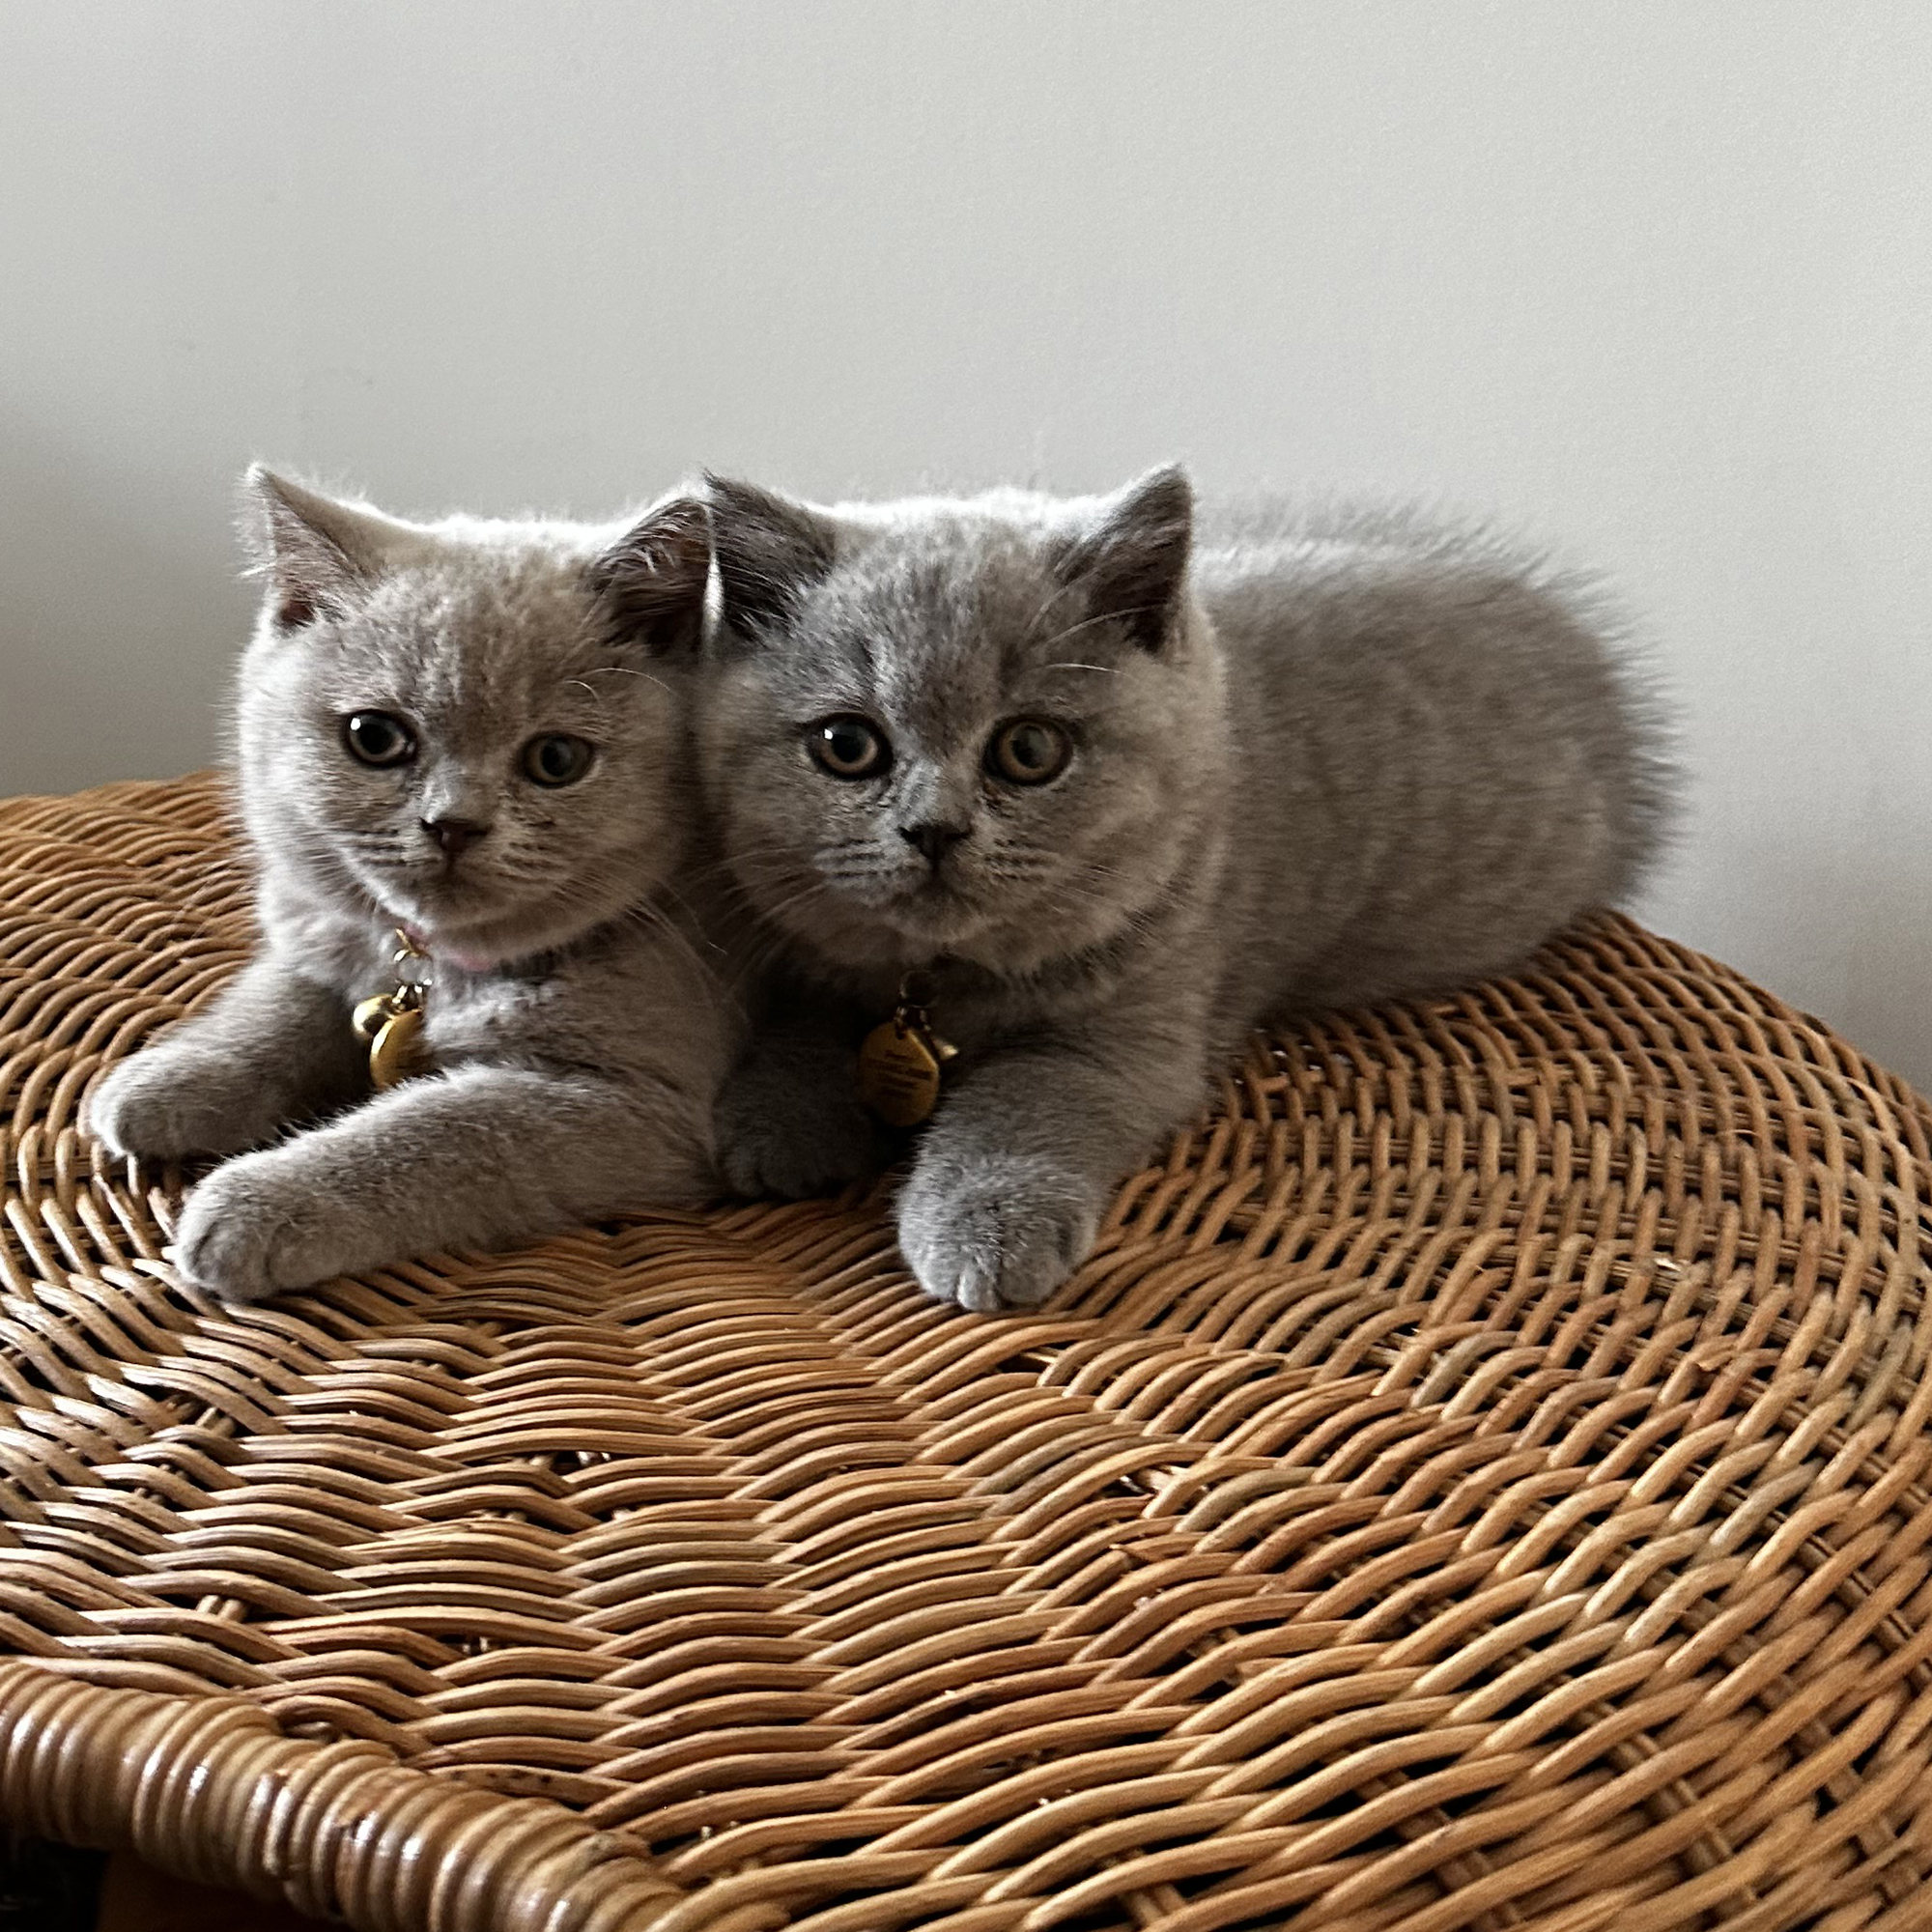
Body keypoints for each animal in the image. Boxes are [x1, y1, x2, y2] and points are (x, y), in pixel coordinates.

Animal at [87, 468, 726, 1306]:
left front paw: (263, 1203)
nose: (452, 825)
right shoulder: (322, 932)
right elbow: (280, 1001)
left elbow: (445, 1128)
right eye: (375, 737)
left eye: (557, 759)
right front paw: (174, 1078)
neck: (443, 966)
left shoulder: (643, 1104)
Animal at [696, 468, 1677, 1314]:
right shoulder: (811, 959)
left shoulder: (1133, 1035)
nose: (934, 829)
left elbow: (1023, 1104)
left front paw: (987, 1229)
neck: (939, 984)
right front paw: (776, 1123)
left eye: (1029, 749)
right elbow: (802, 1024)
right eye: (846, 745)